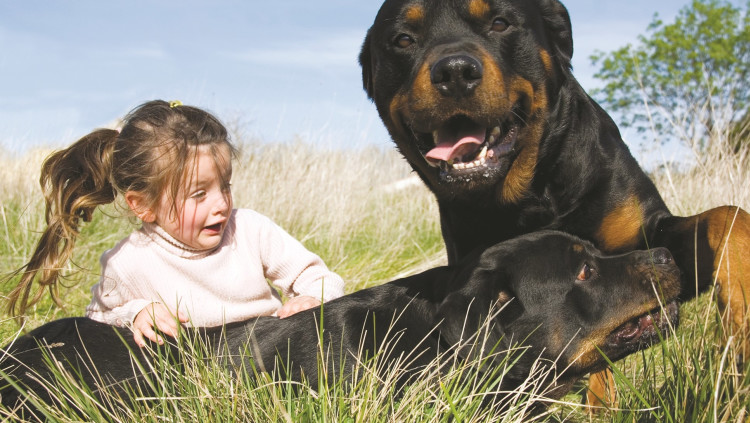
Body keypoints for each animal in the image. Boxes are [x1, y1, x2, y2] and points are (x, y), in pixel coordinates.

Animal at [358, 0, 750, 405]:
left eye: (500, 23)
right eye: (403, 39)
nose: (454, 72)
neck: (531, 194)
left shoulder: (647, 229)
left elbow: (729, 218)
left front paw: (741, 327)